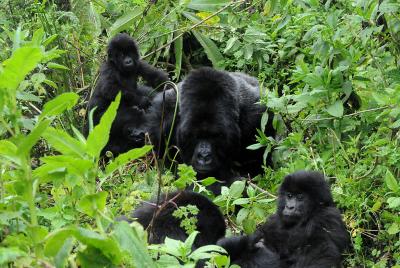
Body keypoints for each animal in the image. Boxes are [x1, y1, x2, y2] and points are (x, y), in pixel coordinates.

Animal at [217, 171, 348, 266]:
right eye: (289, 195)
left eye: (300, 197)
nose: (289, 207)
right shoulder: (273, 220)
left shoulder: (328, 217)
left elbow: (322, 254)